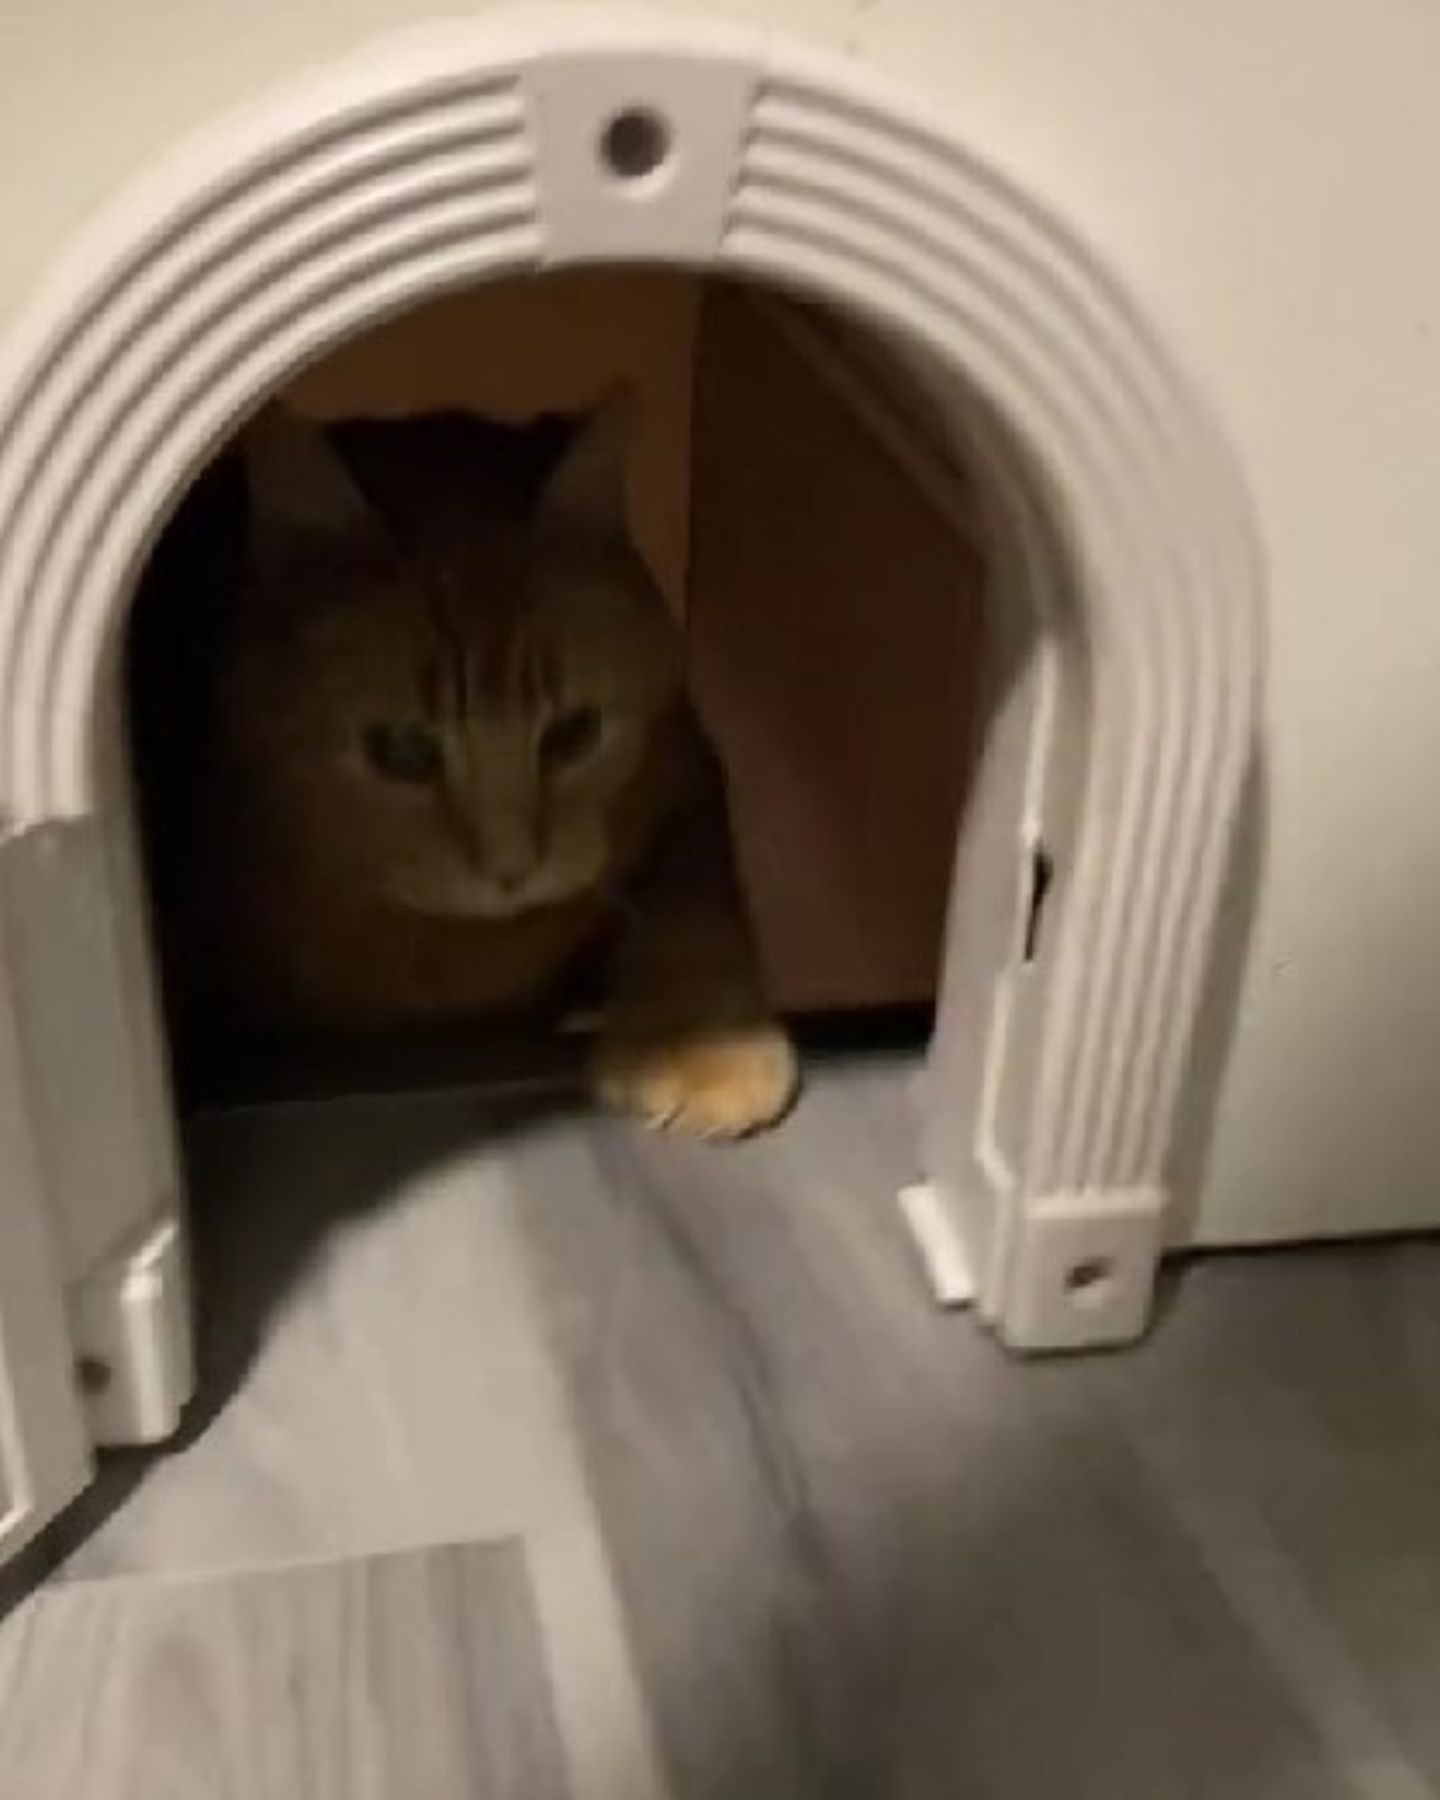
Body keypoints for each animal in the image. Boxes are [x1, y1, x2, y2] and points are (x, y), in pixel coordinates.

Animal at [142, 399, 799, 1130]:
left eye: (575, 734)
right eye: (403, 750)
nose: (512, 869)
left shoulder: (686, 779)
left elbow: (692, 904)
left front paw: (702, 1042)